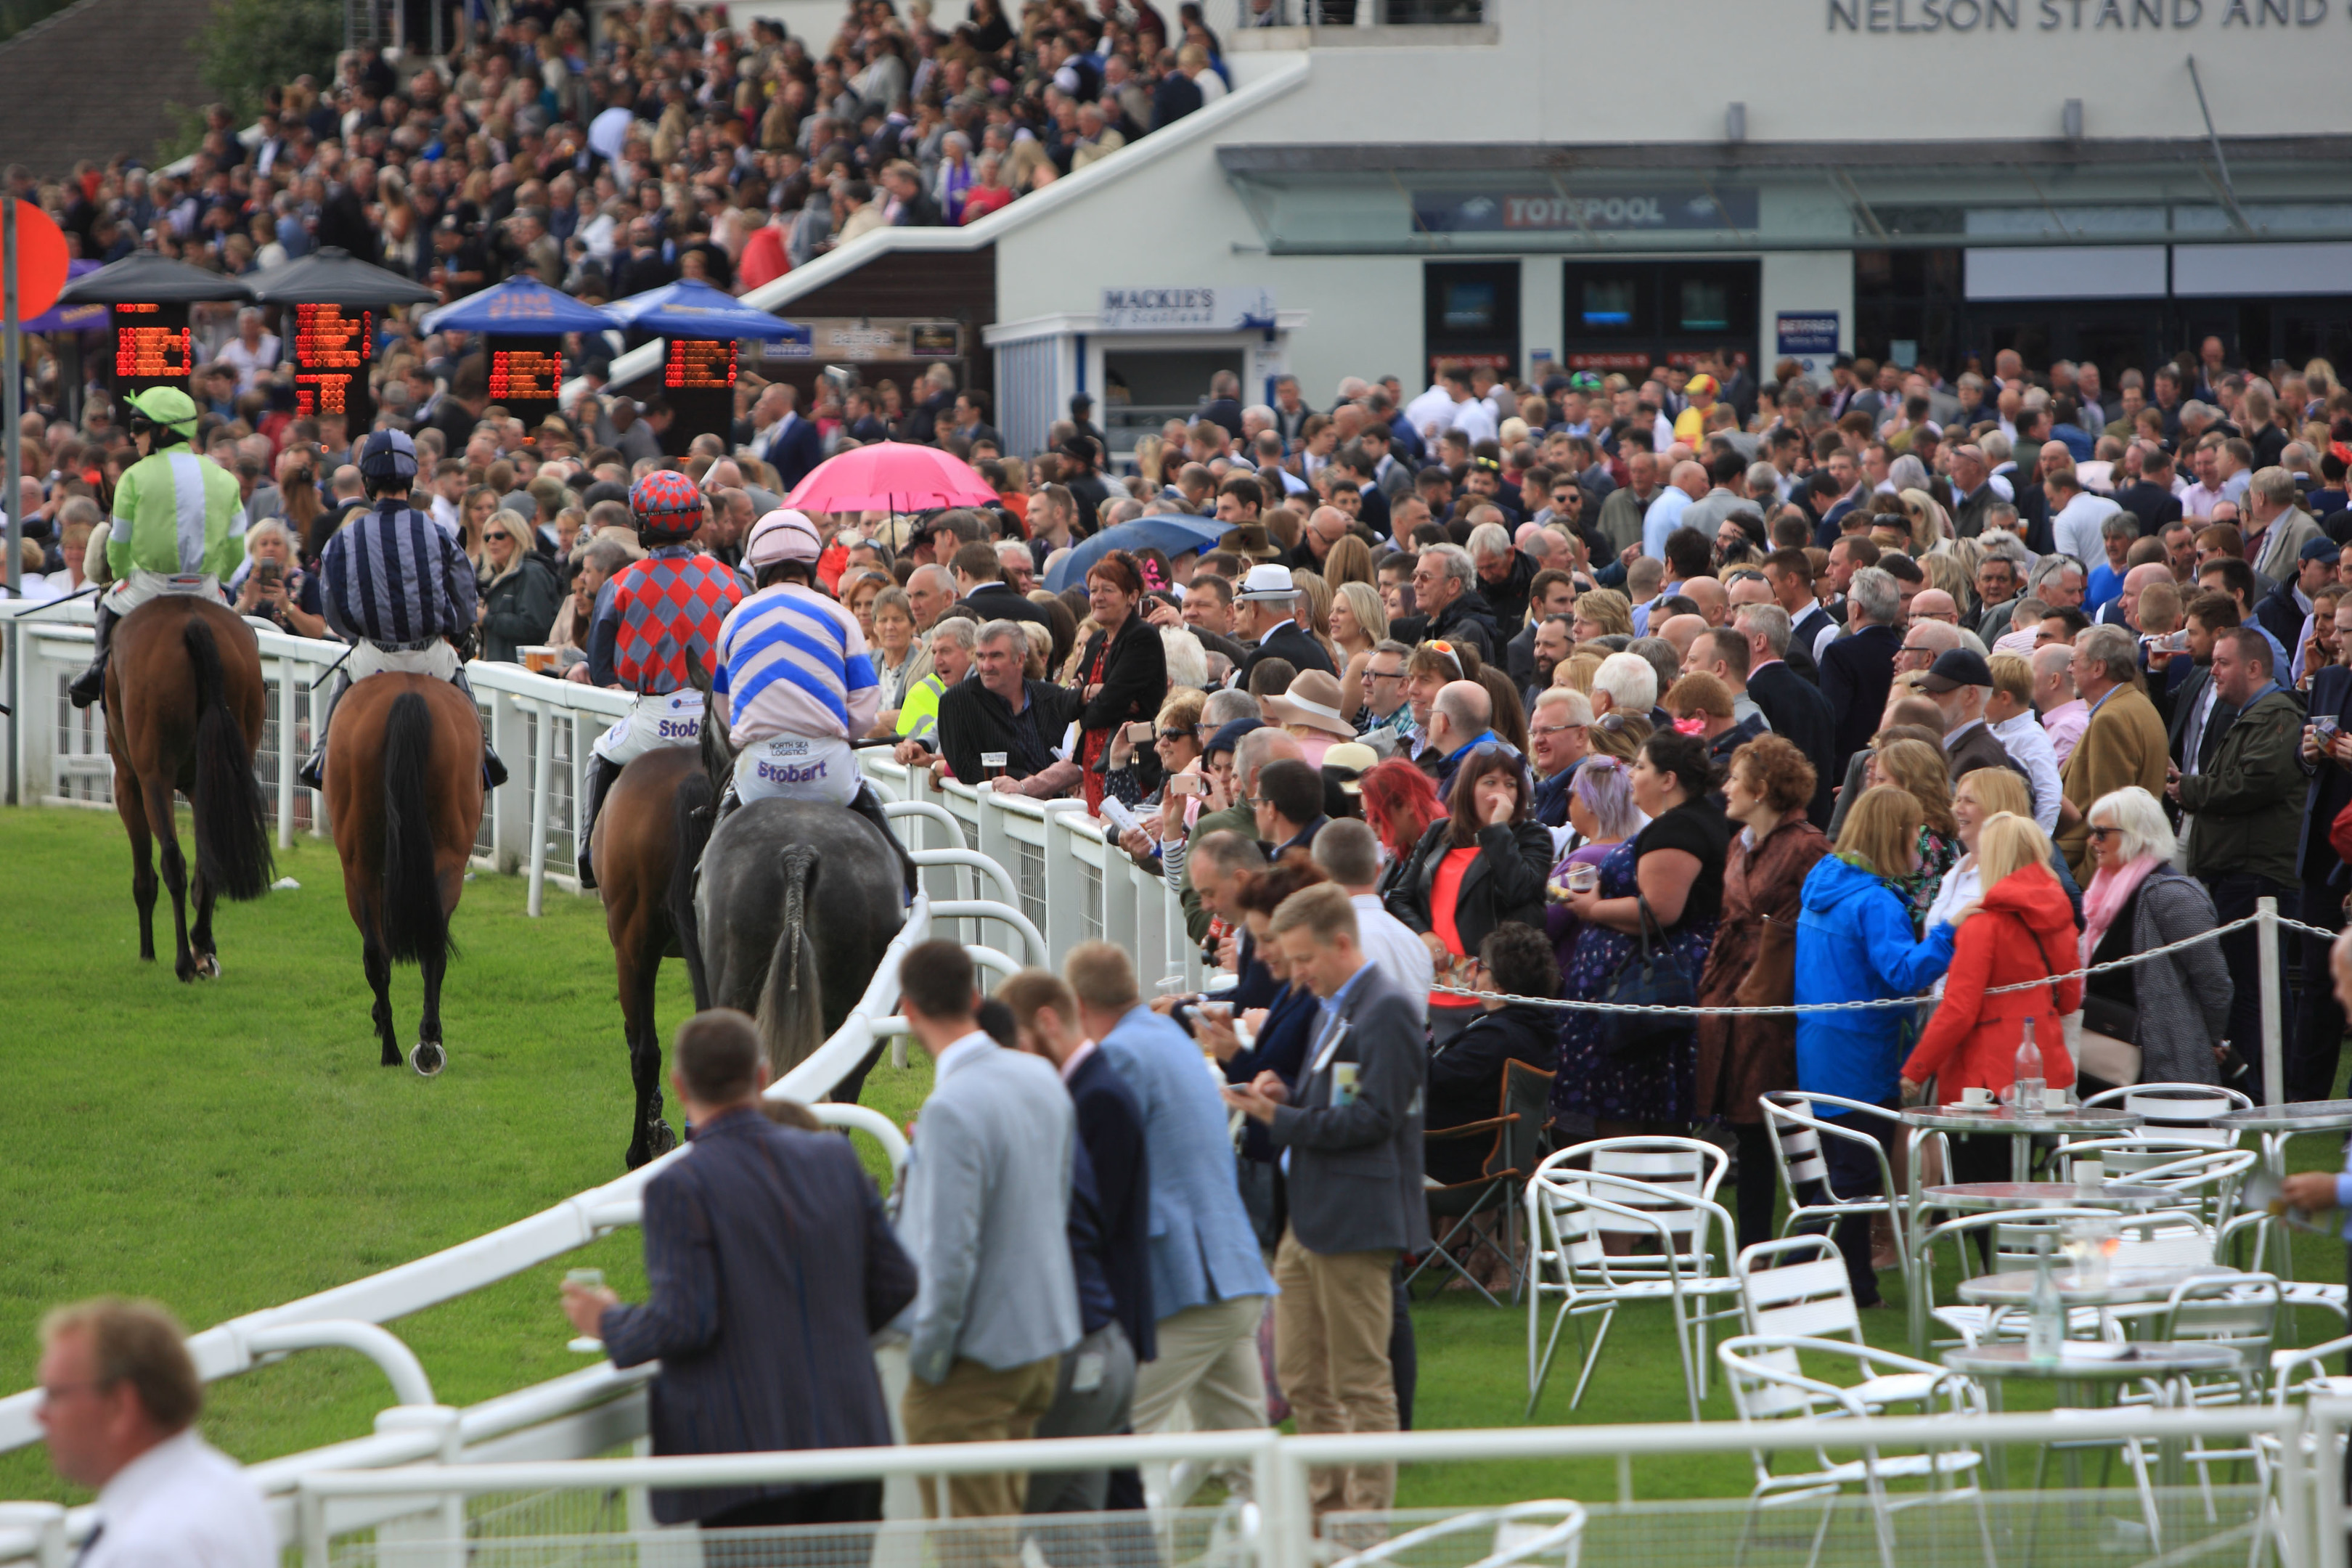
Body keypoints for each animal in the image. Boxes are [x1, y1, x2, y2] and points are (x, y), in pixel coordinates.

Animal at [104, 597, 275, 982]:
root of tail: (194, 621)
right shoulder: (202, 787)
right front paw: (204, 949)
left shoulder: (128, 783)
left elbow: (145, 877)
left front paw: (148, 953)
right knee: (208, 861)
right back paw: (201, 947)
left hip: (155, 776)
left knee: (172, 860)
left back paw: (184, 961)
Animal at [324, 677, 484, 1081]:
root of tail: (408, 694)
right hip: (445, 856)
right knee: (426, 947)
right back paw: (424, 1044)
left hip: (360, 863)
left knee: (379, 952)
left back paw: (397, 1049)